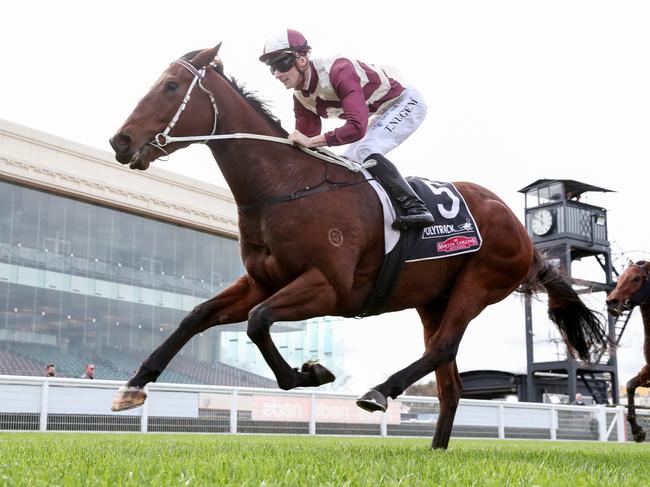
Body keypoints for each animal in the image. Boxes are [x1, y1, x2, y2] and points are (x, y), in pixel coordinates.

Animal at [105, 45, 604, 450]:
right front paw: (134, 385)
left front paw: (310, 373)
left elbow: (258, 321)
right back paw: (435, 451)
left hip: (479, 282)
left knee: (443, 348)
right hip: (432, 300)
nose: (120, 141)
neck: (286, 186)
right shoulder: (261, 281)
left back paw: (379, 391)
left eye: (171, 86)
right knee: (449, 381)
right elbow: (197, 315)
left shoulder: (331, 287)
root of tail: (519, 228)